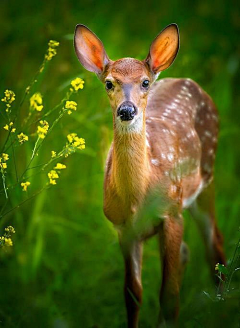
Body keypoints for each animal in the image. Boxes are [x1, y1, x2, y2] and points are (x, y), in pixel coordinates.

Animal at [74, 23, 226, 328]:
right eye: (109, 83)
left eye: (144, 82)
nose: (126, 110)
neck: (138, 196)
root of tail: (188, 81)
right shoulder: (124, 228)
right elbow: (133, 294)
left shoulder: (172, 213)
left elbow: (169, 294)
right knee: (187, 252)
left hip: (206, 179)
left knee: (215, 246)